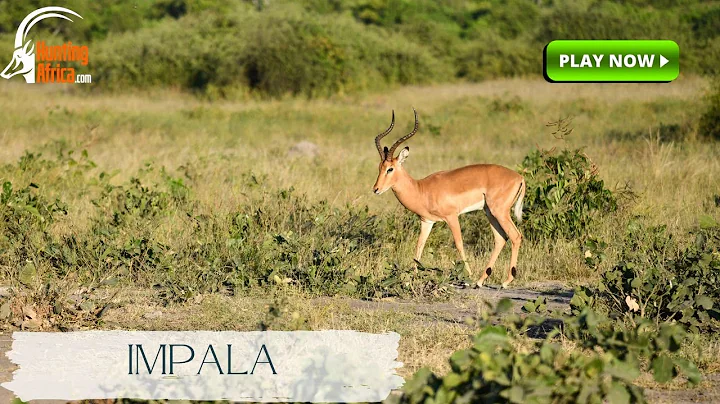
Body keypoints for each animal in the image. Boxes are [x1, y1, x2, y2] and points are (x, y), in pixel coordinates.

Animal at [372, 108, 525, 288]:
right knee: (501, 239)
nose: (376, 189)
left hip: (500, 212)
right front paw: (411, 279)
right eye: (379, 167)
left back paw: (505, 281)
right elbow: (419, 247)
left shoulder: (452, 217)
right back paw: (480, 281)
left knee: (515, 236)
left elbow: (459, 244)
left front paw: (468, 277)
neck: (422, 189)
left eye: (390, 169)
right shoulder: (427, 221)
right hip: (490, 212)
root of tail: (519, 177)